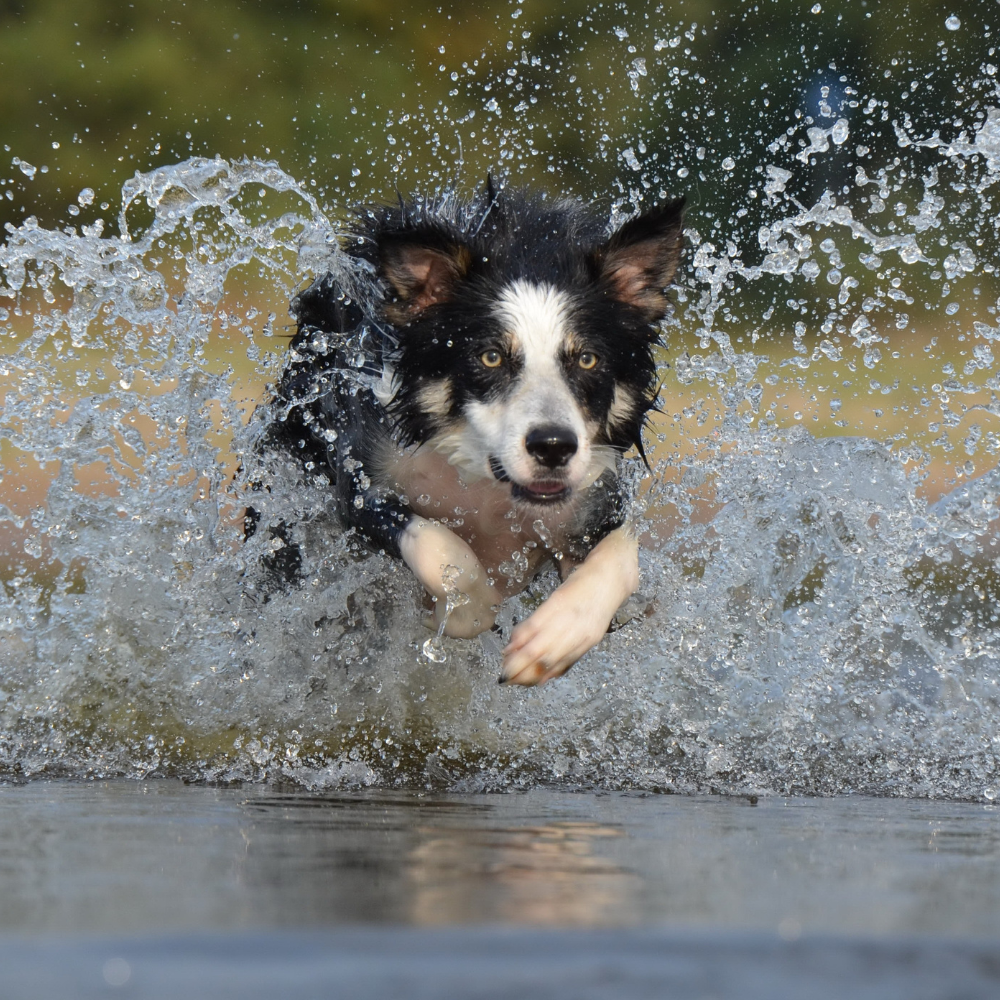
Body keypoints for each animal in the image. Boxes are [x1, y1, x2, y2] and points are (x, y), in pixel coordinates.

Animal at [256, 182, 688, 688]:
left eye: (587, 360)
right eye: (490, 357)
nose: (553, 447)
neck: (485, 481)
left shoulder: (594, 497)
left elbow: (622, 553)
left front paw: (554, 638)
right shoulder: (363, 480)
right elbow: (447, 553)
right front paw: (461, 609)